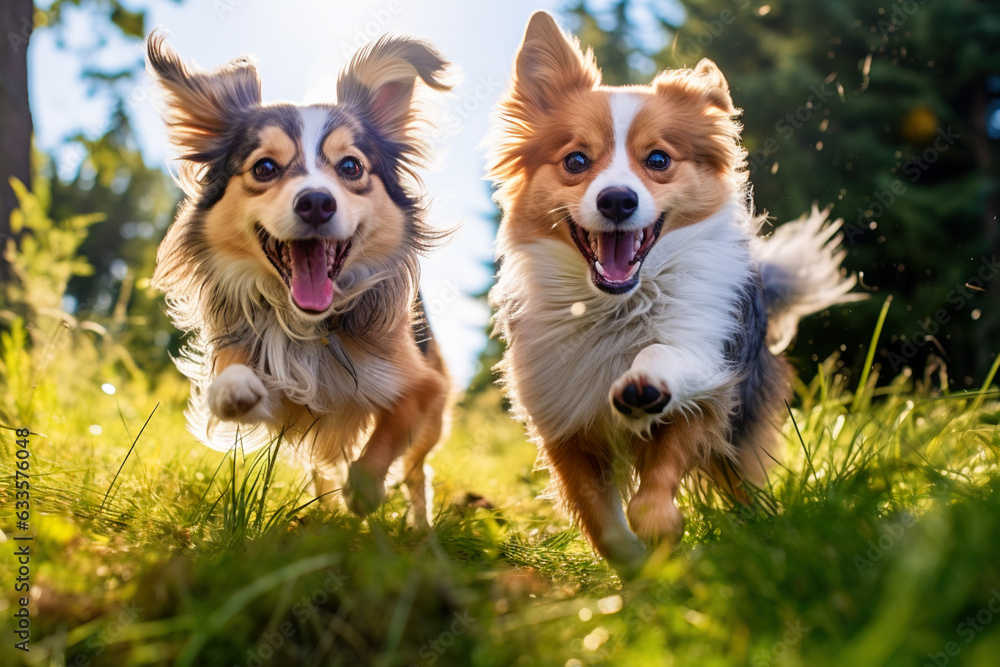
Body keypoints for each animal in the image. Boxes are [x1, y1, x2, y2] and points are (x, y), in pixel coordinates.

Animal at [147, 31, 454, 524]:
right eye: (264, 168)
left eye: (350, 167)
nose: (315, 202)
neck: (311, 325)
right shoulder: (286, 402)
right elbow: (234, 385)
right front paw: (234, 388)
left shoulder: (425, 387)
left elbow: (385, 438)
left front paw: (364, 493)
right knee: (322, 470)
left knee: (416, 475)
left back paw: (419, 529)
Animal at [488, 13, 856, 568]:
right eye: (576, 161)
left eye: (659, 159)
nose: (617, 200)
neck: (614, 307)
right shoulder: (563, 422)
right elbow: (605, 525)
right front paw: (637, 567)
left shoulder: (705, 389)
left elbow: (656, 478)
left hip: (742, 427)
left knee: (745, 487)